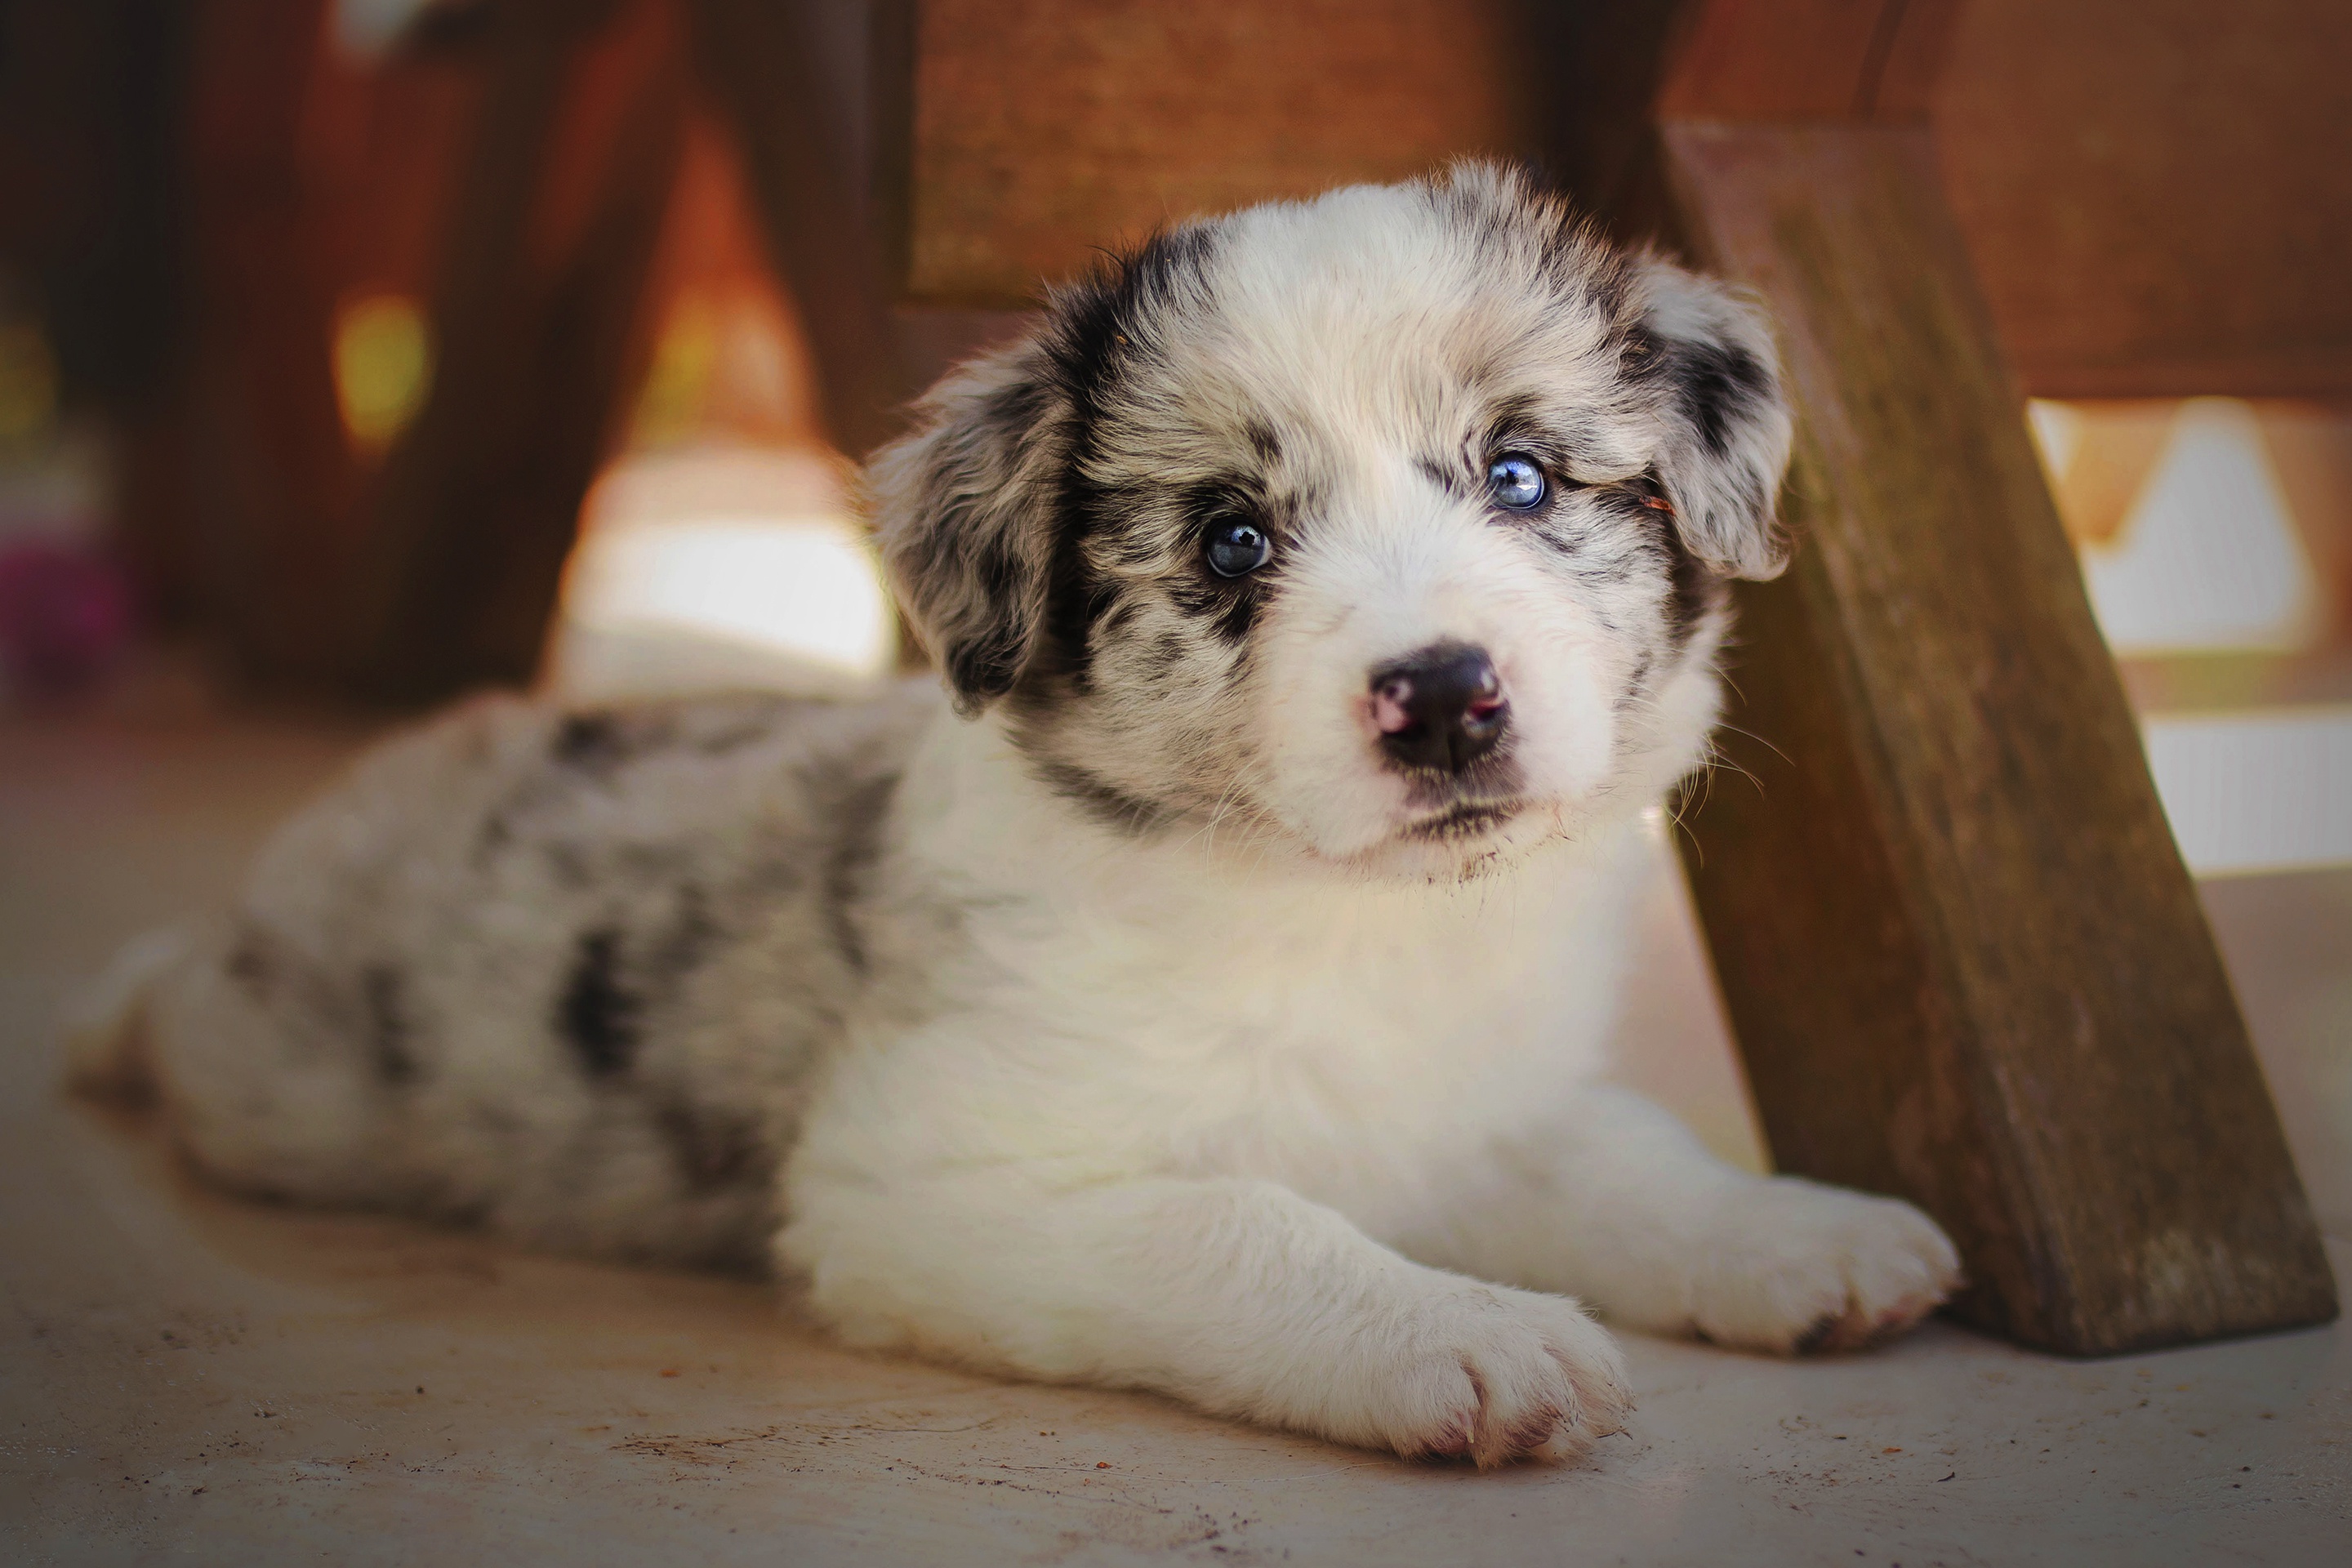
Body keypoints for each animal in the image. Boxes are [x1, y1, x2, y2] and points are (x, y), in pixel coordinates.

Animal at [74, 165, 1957, 1467]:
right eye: (1231, 542)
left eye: (1520, 475)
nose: (1441, 698)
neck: (1344, 920)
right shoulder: (937, 1174)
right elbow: (1245, 1219)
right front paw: (1473, 1340)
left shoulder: (1473, 1109)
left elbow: (1630, 1157)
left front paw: (1803, 1235)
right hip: (269, 1080)